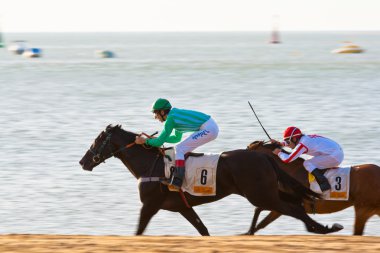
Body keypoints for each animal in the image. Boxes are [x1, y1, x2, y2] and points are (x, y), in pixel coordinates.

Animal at [79, 125, 342, 236]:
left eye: (97, 140)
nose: (83, 162)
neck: (151, 165)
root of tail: (264, 156)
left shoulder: (150, 205)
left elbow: (139, 230)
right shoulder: (182, 207)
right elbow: (203, 229)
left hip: (261, 194)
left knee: (292, 208)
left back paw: (321, 228)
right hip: (267, 192)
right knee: (295, 204)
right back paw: (324, 227)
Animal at [246, 140, 380, 235]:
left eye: (246, 149)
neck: (290, 173)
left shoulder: (286, 204)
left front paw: (332, 227)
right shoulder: (281, 203)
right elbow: (260, 215)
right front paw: (248, 232)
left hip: (364, 208)